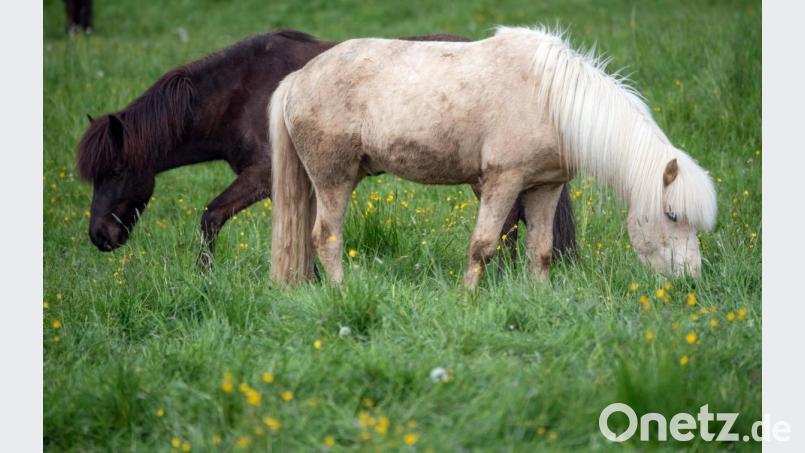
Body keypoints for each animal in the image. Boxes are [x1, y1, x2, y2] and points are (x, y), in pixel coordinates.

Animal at [75, 30, 577, 270]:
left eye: (115, 170)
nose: (99, 236)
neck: (244, 91)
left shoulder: (263, 176)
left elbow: (212, 217)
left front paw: (205, 277)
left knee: (509, 225)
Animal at [269, 26, 718, 288]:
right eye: (672, 215)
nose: (691, 281)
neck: (552, 100)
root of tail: (297, 78)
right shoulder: (503, 181)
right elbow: (483, 245)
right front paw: (468, 299)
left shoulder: (544, 187)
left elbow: (540, 249)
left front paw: (540, 297)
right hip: (334, 179)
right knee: (326, 237)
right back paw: (341, 292)